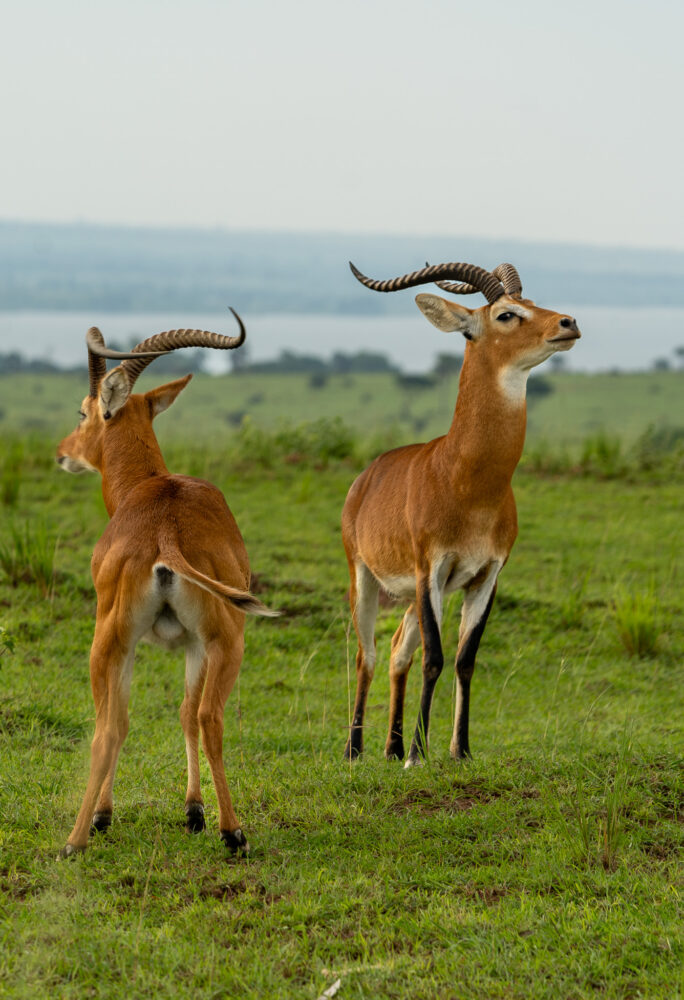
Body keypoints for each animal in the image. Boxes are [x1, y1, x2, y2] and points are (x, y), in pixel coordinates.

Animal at [56, 314, 276, 860]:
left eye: (83, 410)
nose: (63, 454)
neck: (148, 486)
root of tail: (165, 536)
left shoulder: (143, 644)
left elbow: (144, 718)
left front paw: (112, 814)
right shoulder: (185, 644)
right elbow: (179, 713)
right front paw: (192, 810)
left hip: (116, 641)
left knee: (114, 727)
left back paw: (76, 840)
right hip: (217, 641)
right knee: (203, 718)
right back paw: (230, 830)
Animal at [344, 258, 580, 764]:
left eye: (532, 302)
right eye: (506, 314)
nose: (567, 323)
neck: (468, 484)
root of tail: (366, 477)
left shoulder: (486, 576)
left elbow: (464, 658)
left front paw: (459, 750)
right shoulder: (430, 569)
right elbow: (434, 657)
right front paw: (419, 754)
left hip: (412, 595)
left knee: (397, 650)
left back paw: (390, 748)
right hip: (365, 578)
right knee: (366, 653)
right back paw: (356, 749)